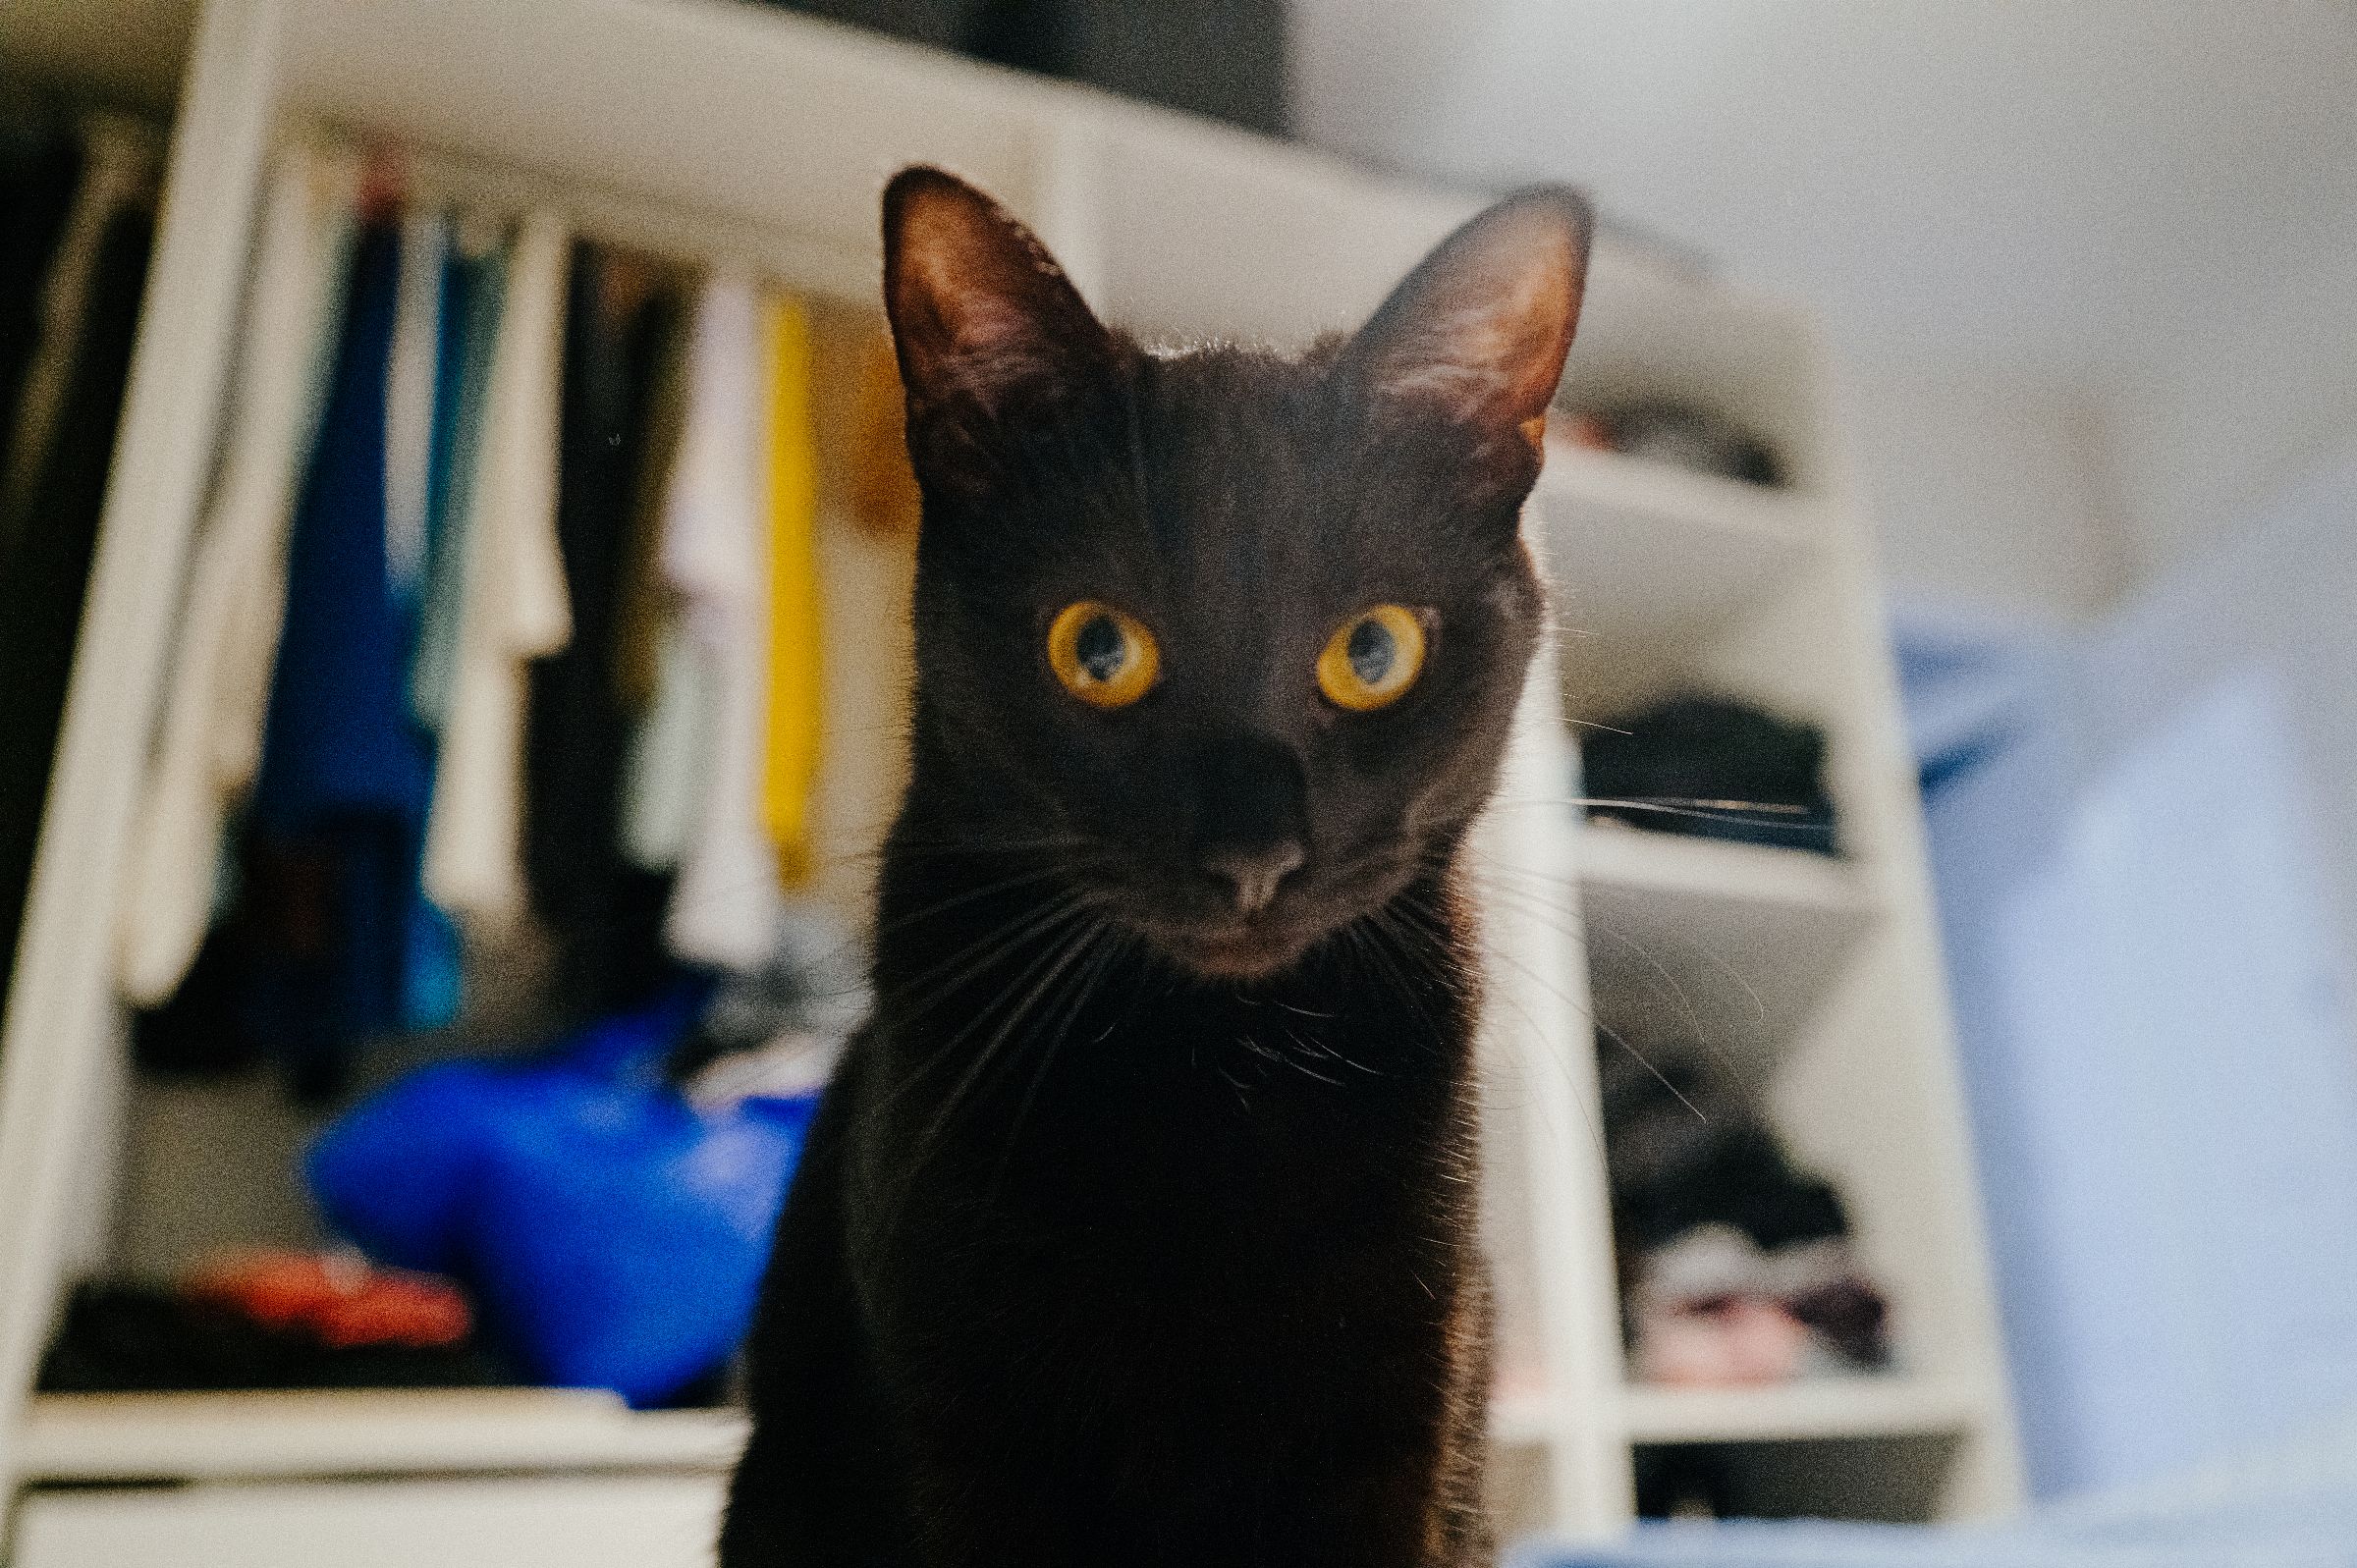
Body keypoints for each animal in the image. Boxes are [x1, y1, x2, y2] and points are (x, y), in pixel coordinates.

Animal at [721, 165, 1589, 1568]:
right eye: (1098, 650)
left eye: (1374, 651)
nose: (1253, 859)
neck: (1215, 1071)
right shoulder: (968, 1423)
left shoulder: (1403, 1397)